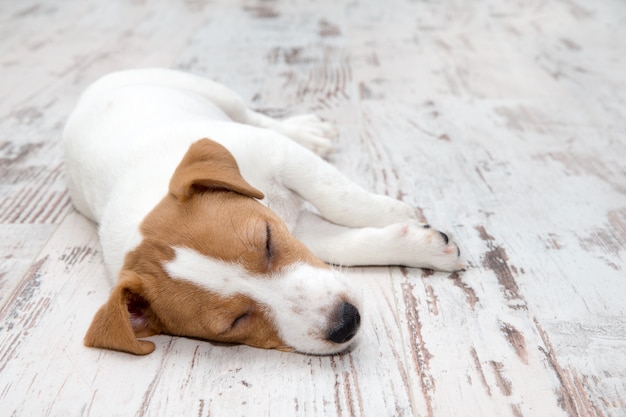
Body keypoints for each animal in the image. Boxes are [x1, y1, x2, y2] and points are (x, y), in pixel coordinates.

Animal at [63, 67, 464, 354]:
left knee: (255, 116)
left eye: (268, 241)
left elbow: (339, 196)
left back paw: (305, 130)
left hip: (212, 94)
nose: (346, 323)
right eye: (234, 322)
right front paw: (418, 244)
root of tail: (83, 100)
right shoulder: (299, 227)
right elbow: (349, 246)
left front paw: (393, 212)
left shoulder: (282, 157)